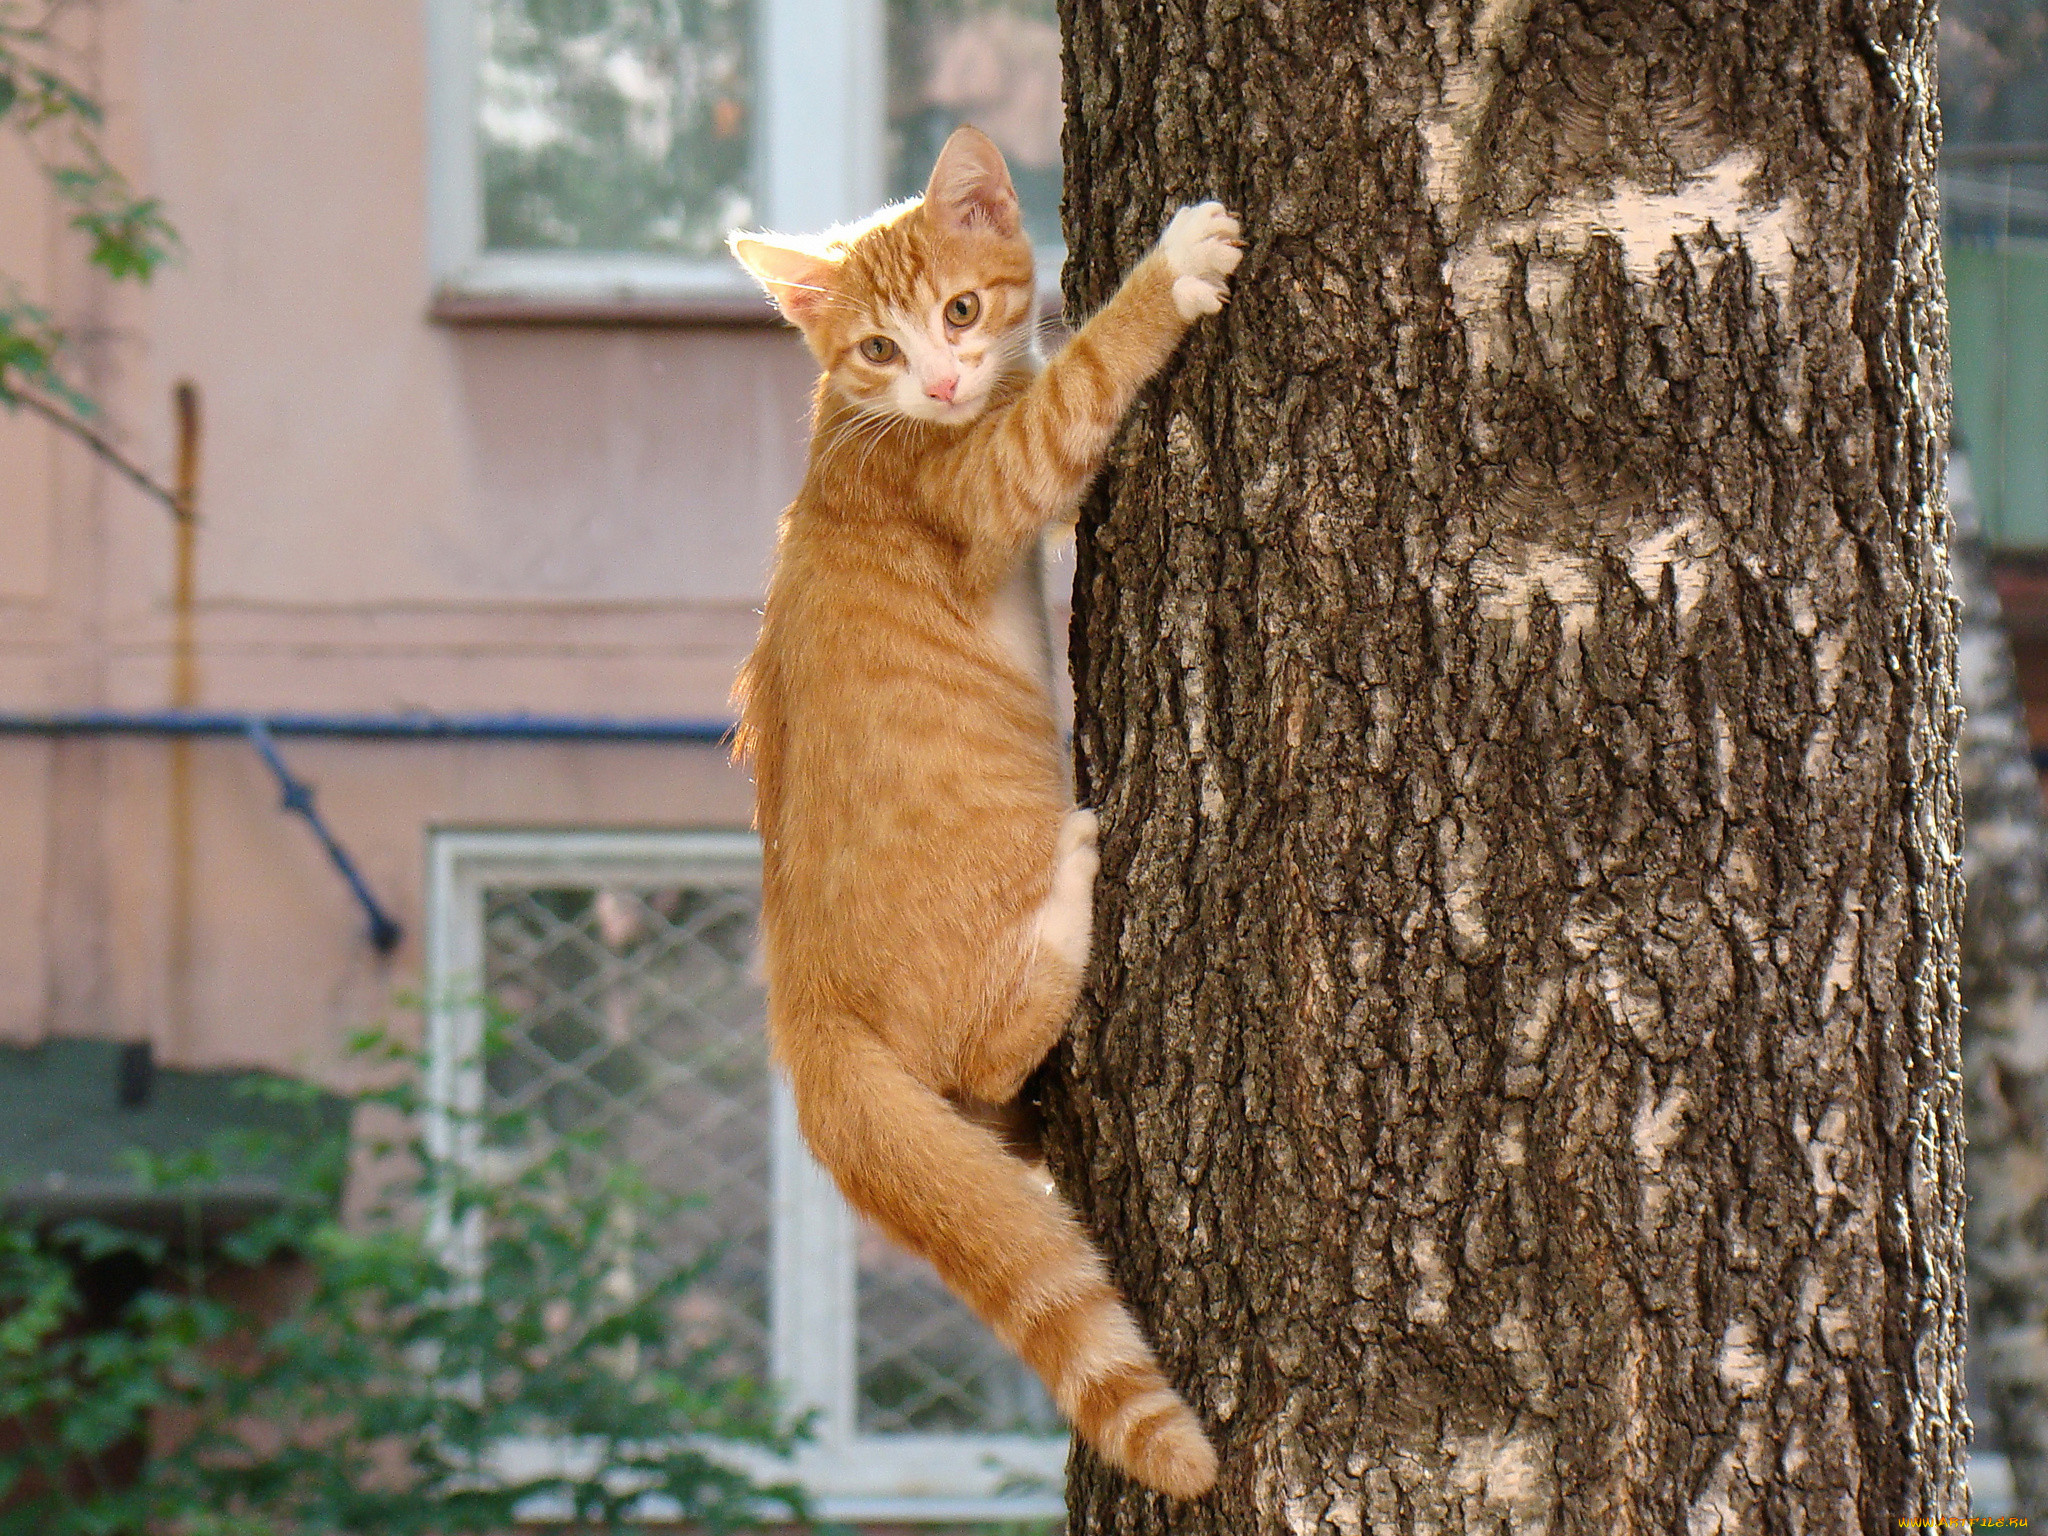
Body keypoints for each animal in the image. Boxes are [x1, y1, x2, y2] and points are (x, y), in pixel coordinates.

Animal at [737, 123, 1245, 1507]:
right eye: (876, 347)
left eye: (959, 311)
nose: (945, 376)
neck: (858, 421)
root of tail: (800, 1011)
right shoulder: (995, 479)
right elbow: (1080, 383)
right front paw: (1168, 270)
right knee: (992, 1044)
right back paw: (1069, 884)